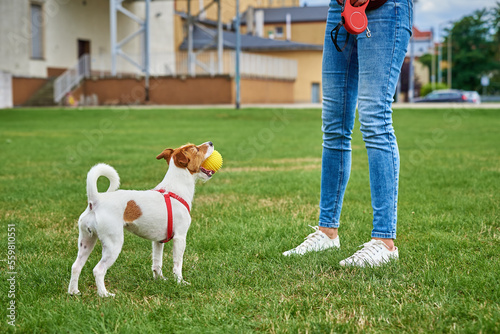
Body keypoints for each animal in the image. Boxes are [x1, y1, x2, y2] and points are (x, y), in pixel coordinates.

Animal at [67, 141, 214, 298]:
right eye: (196, 149)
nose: (211, 143)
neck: (174, 189)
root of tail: (95, 201)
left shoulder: (158, 240)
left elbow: (157, 263)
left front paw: (160, 280)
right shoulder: (180, 237)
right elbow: (177, 263)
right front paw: (180, 282)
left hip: (86, 241)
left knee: (76, 266)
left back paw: (74, 292)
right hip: (113, 244)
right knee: (98, 270)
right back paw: (105, 294)